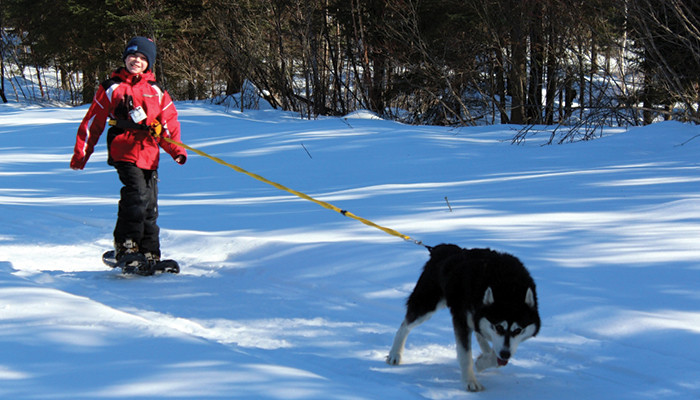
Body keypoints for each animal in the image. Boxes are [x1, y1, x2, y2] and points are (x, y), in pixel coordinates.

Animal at [386, 244, 540, 390]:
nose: (505, 354)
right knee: (404, 326)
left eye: (518, 330)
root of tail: (442, 248)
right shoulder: (462, 321)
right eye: (499, 327)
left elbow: (495, 356)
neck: (508, 287)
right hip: (426, 305)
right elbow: (466, 355)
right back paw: (395, 354)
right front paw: (470, 381)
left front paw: (482, 361)